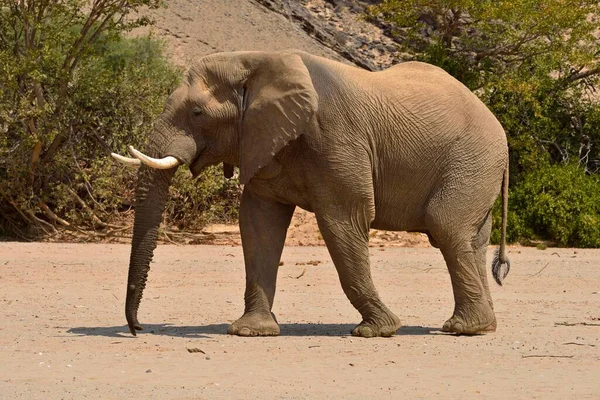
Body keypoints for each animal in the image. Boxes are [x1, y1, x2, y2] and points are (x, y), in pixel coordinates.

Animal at [113, 49, 510, 338]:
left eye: (197, 112)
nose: (138, 329)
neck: (255, 60)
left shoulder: (337, 137)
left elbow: (343, 222)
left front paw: (376, 330)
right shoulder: (262, 139)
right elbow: (259, 223)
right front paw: (251, 331)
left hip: (472, 159)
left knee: (445, 227)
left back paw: (463, 328)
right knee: (472, 239)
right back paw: (484, 325)